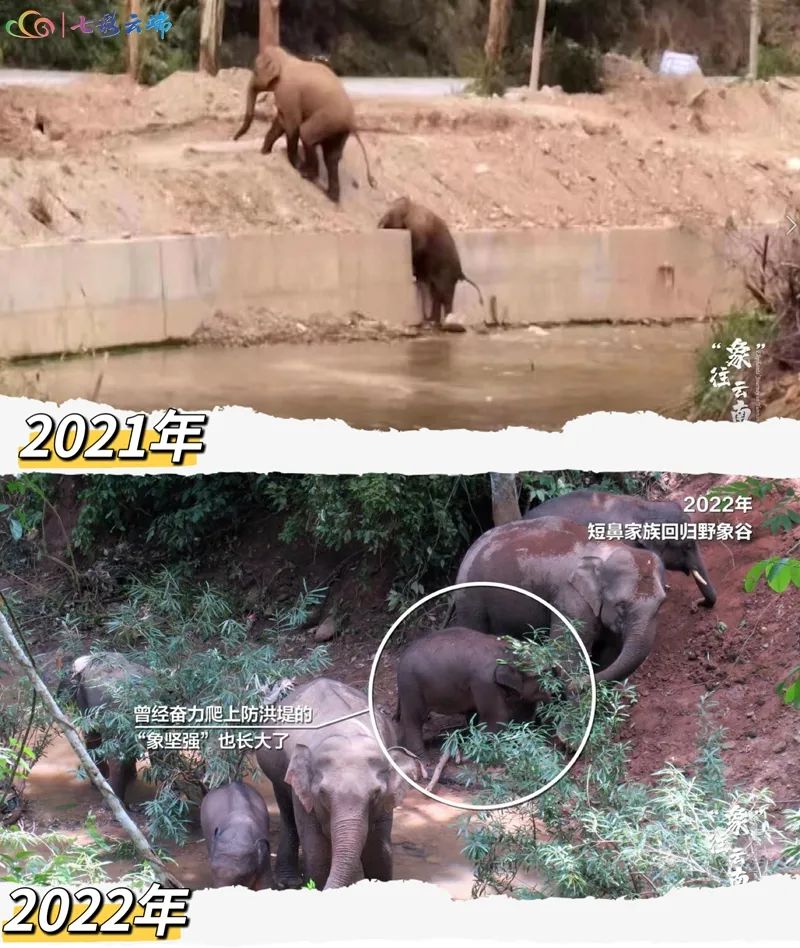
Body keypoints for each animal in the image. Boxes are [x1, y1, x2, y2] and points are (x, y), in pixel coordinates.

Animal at [232, 45, 376, 203]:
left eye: (255, 71)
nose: (234, 138)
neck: (286, 58)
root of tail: (350, 121)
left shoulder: (288, 93)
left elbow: (292, 124)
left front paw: (296, 165)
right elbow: (280, 122)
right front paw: (264, 153)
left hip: (327, 119)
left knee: (306, 134)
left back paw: (307, 175)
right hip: (338, 130)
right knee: (332, 156)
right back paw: (331, 196)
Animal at [255, 677, 423, 891]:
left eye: (376, 794)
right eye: (322, 793)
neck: (347, 732)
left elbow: (378, 849)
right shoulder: (304, 794)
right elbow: (316, 851)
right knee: (287, 814)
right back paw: (288, 881)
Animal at [377, 197, 484, 327]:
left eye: (392, 212)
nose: (380, 225)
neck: (411, 208)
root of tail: (461, 273)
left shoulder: (418, 233)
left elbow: (417, 248)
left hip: (446, 276)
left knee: (443, 296)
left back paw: (444, 322)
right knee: (437, 295)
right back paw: (435, 321)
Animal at [395, 626, 549, 758]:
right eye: (544, 674)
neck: (506, 650)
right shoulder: (485, 682)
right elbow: (497, 716)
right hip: (411, 686)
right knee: (414, 719)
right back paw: (421, 757)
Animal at [453, 516, 668, 685]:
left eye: (661, 605)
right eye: (621, 605)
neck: (605, 549)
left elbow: (610, 656)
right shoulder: (571, 599)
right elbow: (567, 655)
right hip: (470, 598)